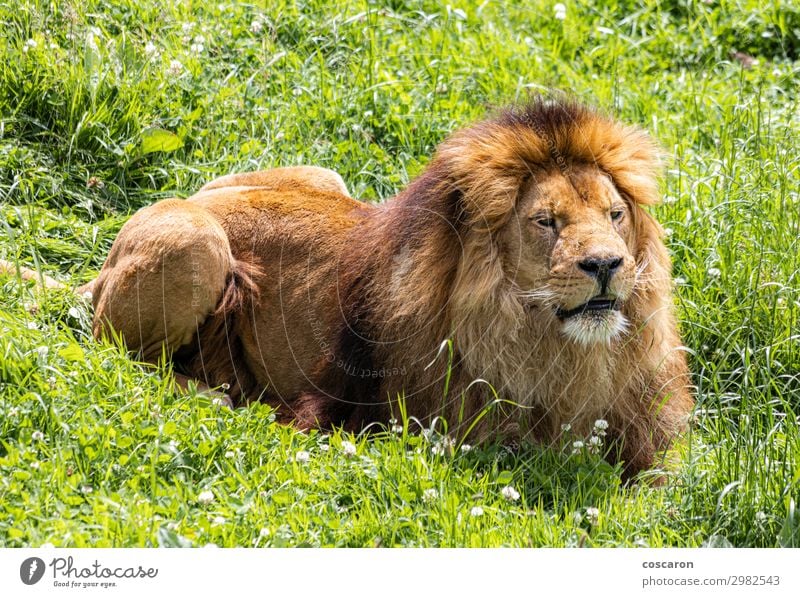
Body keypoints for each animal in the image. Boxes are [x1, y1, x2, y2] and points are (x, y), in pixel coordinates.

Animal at [10, 99, 692, 480]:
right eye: (545, 222)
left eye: (614, 215)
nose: (607, 264)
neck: (563, 352)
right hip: (193, 239)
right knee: (119, 357)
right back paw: (224, 398)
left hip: (321, 176)